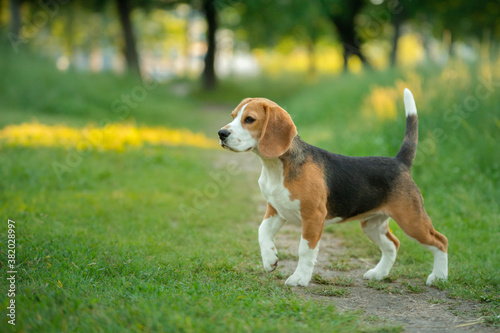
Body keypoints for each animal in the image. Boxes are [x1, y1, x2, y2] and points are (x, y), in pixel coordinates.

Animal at [219, 89, 450, 286]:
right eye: (233, 116)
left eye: (249, 119)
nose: (221, 133)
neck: (275, 167)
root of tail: (399, 162)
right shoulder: (276, 209)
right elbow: (262, 231)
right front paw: (270, 260)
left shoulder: (313, 216)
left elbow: (305, 250)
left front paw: (299, 278)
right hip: (372, 224)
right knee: (393, 244)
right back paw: (379, 273)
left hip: (412, 220)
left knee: (441, 241)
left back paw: (438, 276)